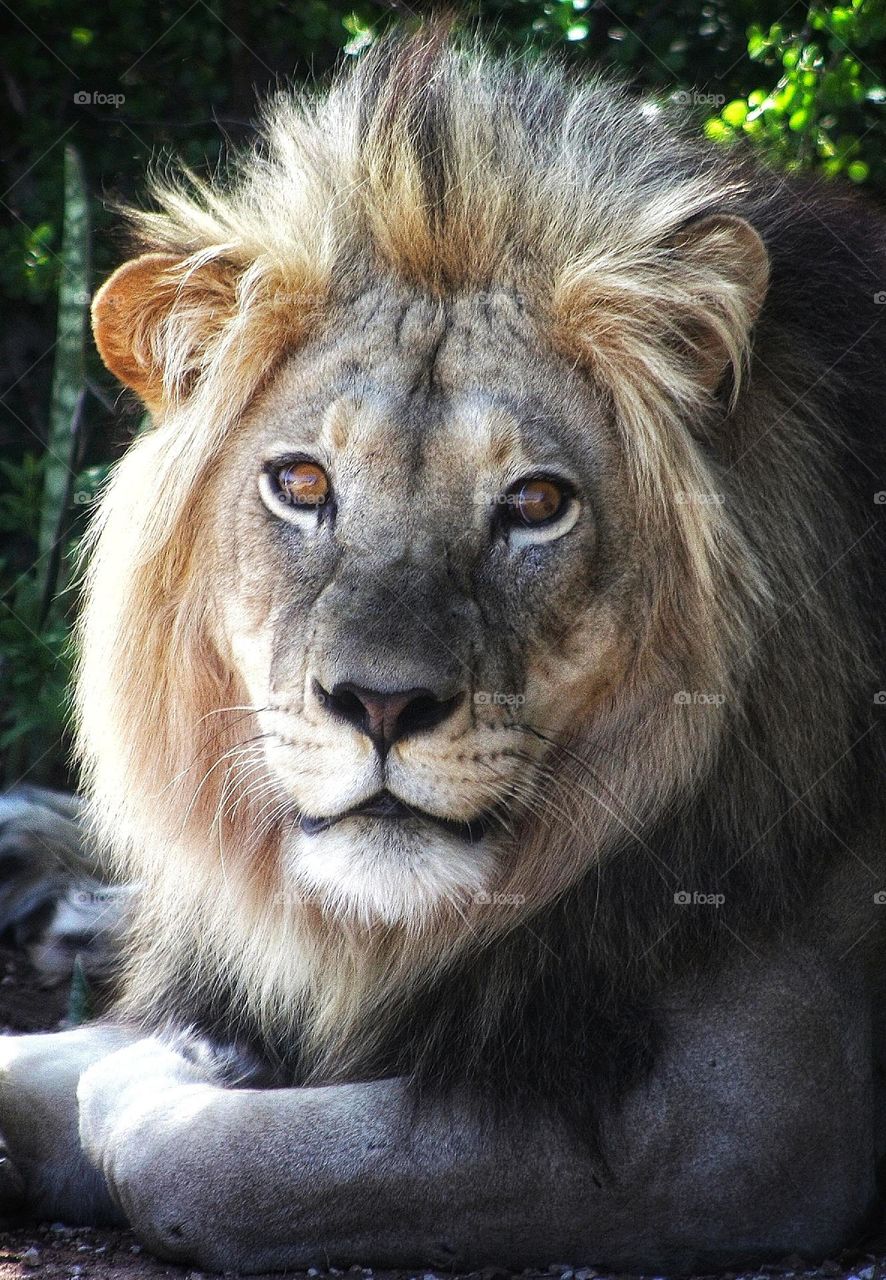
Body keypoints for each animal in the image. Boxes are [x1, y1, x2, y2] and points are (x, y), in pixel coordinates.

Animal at [1, 24, 886, 1273]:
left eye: (536, 504)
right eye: (301, 483)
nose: (380, 704)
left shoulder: (749, 1129)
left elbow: (200, 1159)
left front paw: (162, 1075)